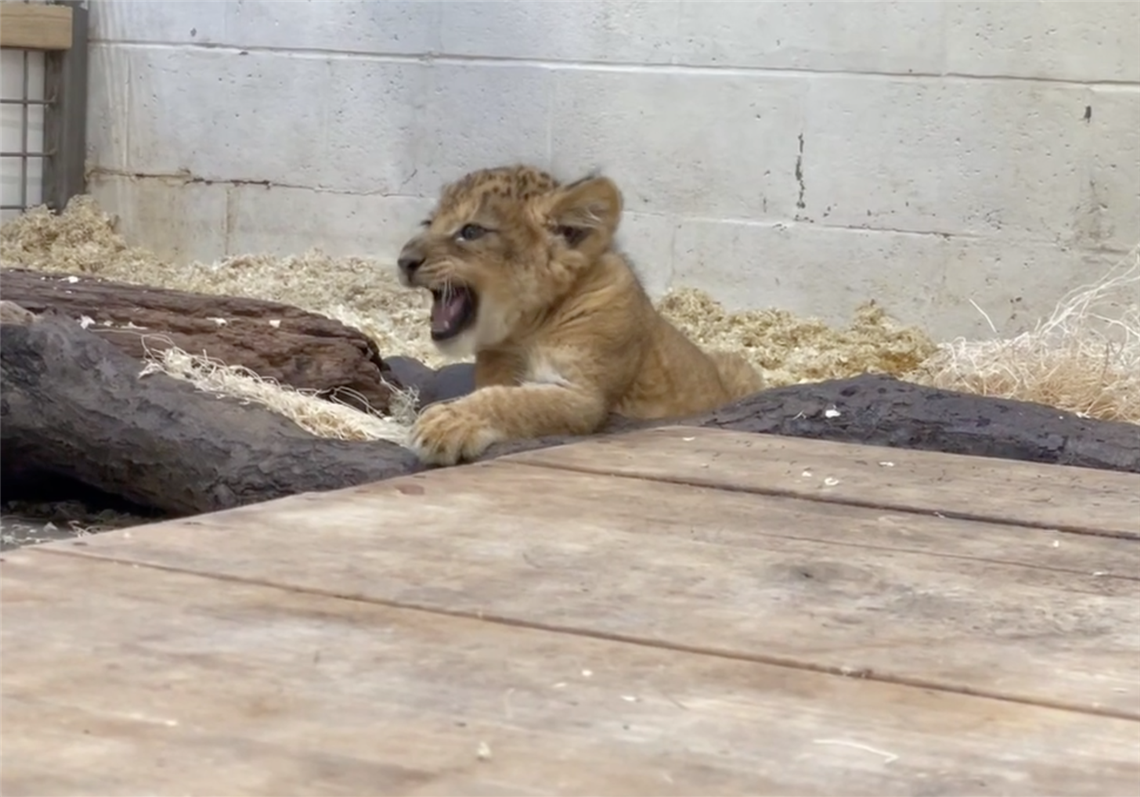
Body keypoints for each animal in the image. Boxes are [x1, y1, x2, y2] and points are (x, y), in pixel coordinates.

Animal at [395, 164, 765, 466]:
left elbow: (512, 401)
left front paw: (445, 424)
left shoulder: (583, 396)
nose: (404, 260)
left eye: (471, 231)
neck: (525, 330)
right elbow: (502, 391)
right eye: (428, 223)